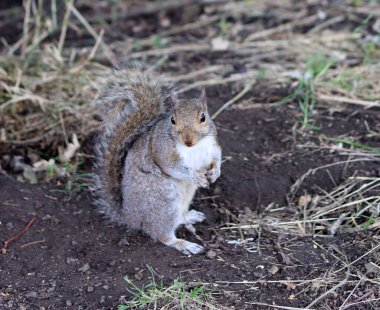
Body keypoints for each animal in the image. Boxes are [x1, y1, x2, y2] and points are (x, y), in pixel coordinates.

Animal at [92, 65, 221, 254]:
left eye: (203, 117)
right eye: (172, 120)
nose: (187, 139)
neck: (194, 147)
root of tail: (129, 216)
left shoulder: (212, 146)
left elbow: (217, 157)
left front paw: (215, 172)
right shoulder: (163, 152)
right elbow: (174, 167)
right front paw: (196, 176)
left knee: (178, 218)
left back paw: (190, 216)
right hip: (164, 200)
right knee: (162, 235)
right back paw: (185, 244)